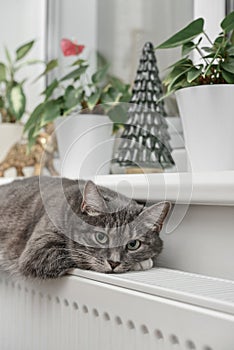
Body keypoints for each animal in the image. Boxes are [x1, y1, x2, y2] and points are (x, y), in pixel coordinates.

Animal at [0, 176, 170, 280]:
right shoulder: (39, 250)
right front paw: (142, 263)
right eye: (100, 237)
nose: (114, 263)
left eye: (133, 244)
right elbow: (75, 254)